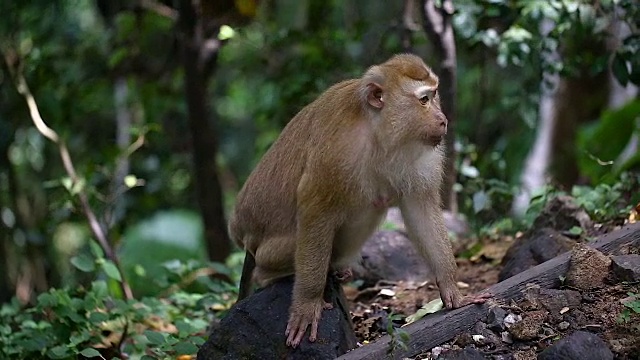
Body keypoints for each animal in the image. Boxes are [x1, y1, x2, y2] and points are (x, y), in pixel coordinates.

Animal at [229, 52, 490, 346]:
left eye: (434, 95)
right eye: (424, 100)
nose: (443, 119)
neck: (377, 131)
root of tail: (241, 230)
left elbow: (419, 209)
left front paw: (452, 290)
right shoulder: (336, 152)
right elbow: (315, 209)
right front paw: (307, 303)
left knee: (373, 204)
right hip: (267, 249)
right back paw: (273, 274)